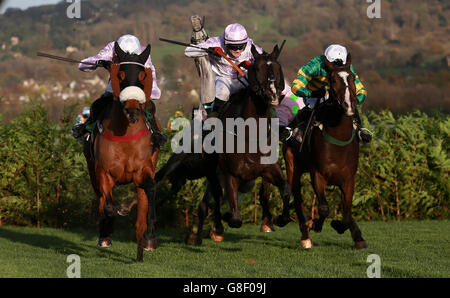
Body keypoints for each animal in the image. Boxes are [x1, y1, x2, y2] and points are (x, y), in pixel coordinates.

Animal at [83, 41, 160, 260]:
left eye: (142, 75)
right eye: (121, 74)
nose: (132, 110)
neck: (125, 136)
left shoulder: (144, 170)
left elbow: (151, 189)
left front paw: (149, 238)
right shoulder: (103, 171)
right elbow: (108, 205)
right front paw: (109, 225)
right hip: (91, 169)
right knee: (101, 198)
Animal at [284, 53, 368, 249]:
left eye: (352, 77)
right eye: (333, 80)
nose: (349, 105)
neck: (339, 140)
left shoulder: (349, 179)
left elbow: (346, 212)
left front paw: (346, 229)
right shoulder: (318, 175)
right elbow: (323, 208)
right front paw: (314, 224)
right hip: (293, 167)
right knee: (297, 199)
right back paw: (305, 235)